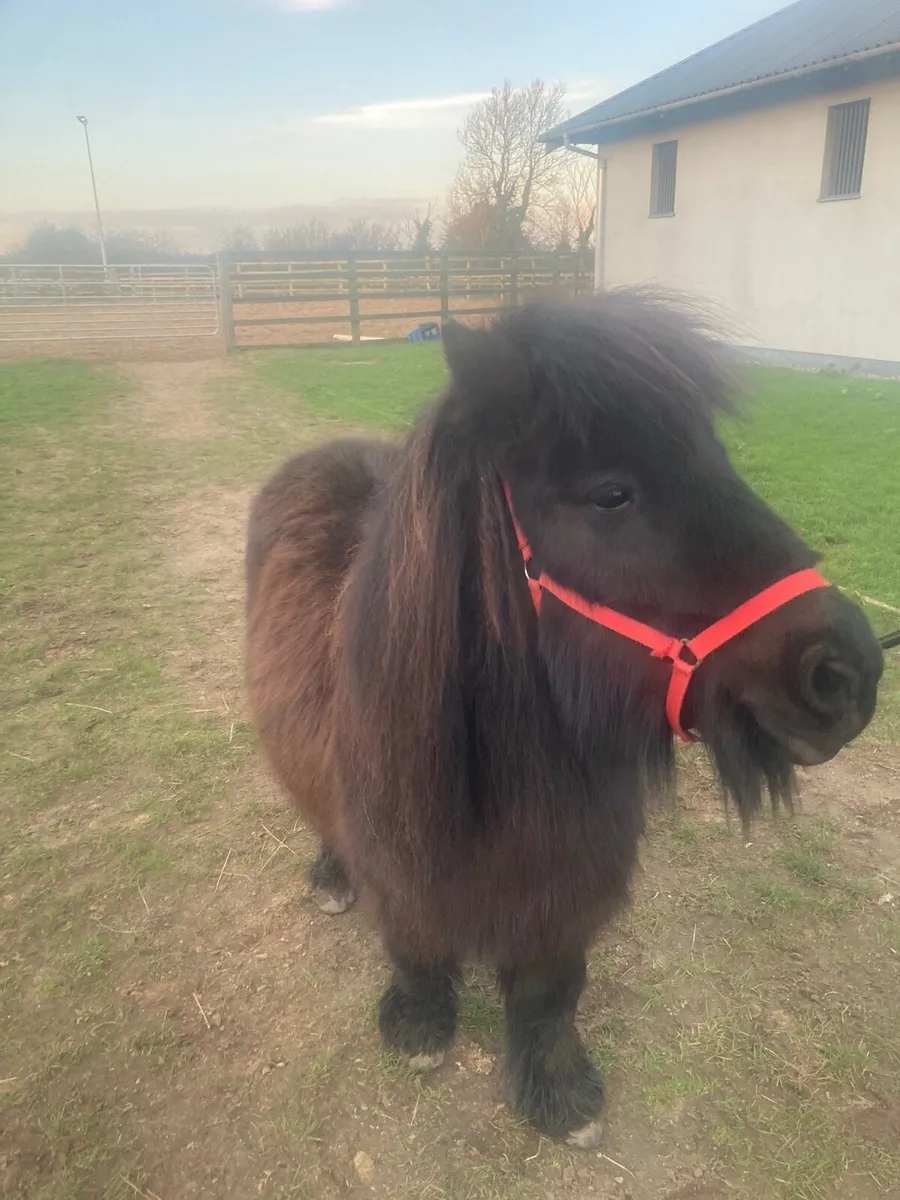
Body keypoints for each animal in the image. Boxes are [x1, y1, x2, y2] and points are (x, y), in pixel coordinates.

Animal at [244, 289, 883, 1147]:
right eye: (611, 493)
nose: (847, 672)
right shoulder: (403, 870)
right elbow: (414, 946)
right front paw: (419, 1024)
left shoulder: (568, 888)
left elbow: (551, 994)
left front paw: (556, 1091)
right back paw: (330, 874)